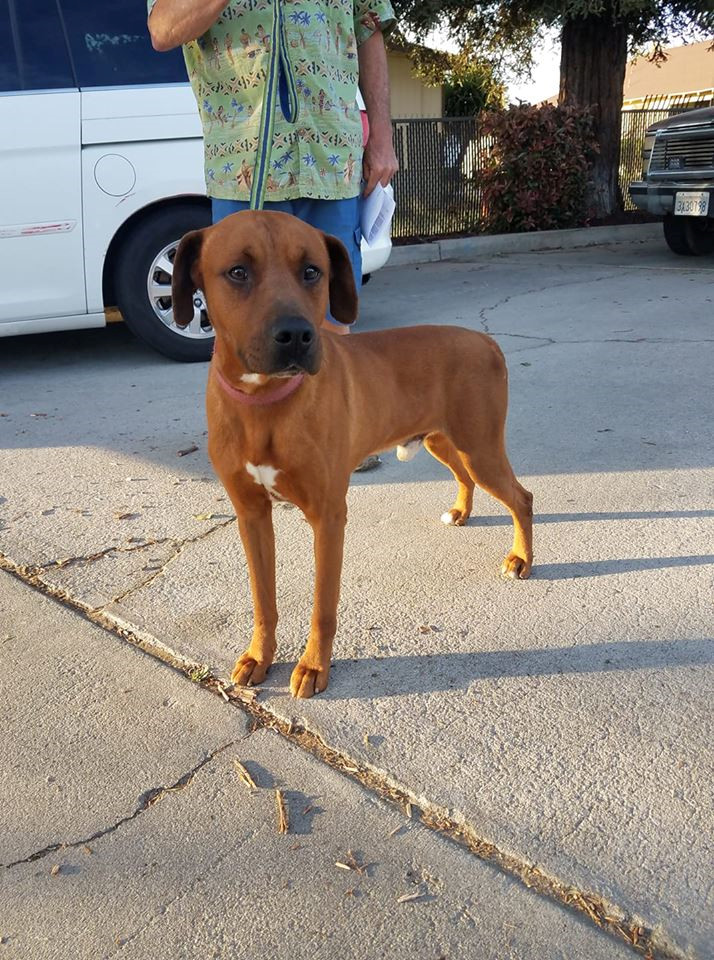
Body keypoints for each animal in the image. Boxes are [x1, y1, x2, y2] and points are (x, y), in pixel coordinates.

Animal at [171, 210, 528, 696]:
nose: (296, 335)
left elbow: (323, 605)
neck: (265, 403)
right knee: (464, 476)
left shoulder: (327, 516)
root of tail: (484, 339)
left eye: (312, 271)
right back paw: (461, 511)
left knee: (521, 498)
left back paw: (522, 558)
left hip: (480, 447)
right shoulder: (252, 515)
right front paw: (259, 655)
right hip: (441, 440)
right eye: (238, 272)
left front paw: (313, 666)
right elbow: (263, 601)